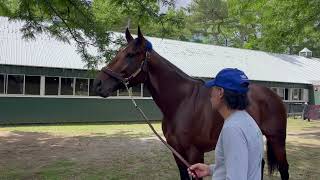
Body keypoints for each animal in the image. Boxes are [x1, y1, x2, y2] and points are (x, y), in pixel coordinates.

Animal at [93, 28, 290, 180]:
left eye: (130, 55)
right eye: (118, 52)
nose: (98, 84)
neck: (181, 102)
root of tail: (274, 95)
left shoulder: (195, 153)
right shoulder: (177, 153)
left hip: (277, 139)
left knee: (284, 168)